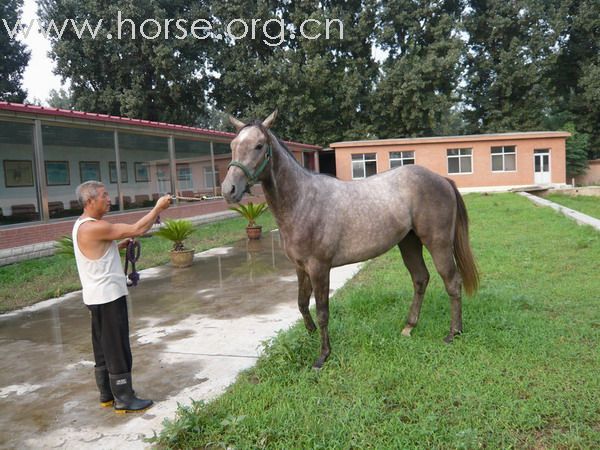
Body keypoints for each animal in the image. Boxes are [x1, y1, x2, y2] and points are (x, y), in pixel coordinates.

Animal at [223, 110, 480, 368]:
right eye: (233, 145)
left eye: (258, 146)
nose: (228, 190)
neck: (302, 201)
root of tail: (442, 180)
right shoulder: (300, 267)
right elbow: (302, 303)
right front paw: (310, 333)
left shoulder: (319, 268)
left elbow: (322, 311)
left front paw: (323, 355)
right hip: (409, 242)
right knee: (420, 279)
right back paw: (409, 327)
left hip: (438, 243)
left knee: (452, 282)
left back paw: (453, 333)